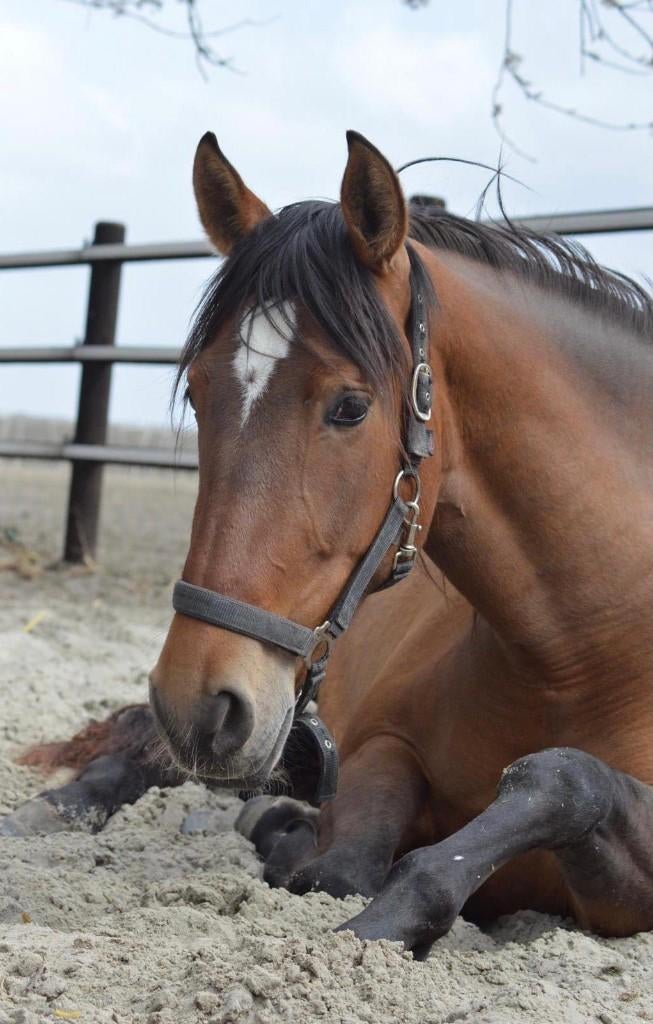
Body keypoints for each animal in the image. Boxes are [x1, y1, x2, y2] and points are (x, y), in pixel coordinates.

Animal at [4, 130, 653, 956]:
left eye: (349, 407)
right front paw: (293, 845)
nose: (197, 701)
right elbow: (345, 864)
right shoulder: (379, 746)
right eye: (199, 393)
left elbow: (565, 780)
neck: (577, 657)